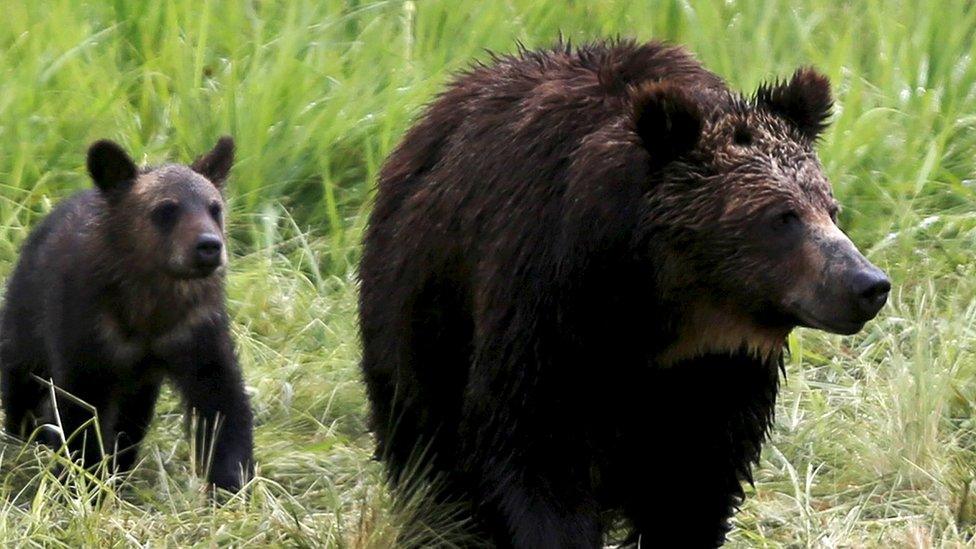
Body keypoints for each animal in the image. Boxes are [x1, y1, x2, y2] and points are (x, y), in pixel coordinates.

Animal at [360, 40, 892, 544]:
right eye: (782, 217)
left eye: (830, 208)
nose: (868, 284)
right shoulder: (543, 314)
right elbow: (537, 458)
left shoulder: (718, 374)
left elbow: (695, 484)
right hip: (420, 316)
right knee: (427, 453)